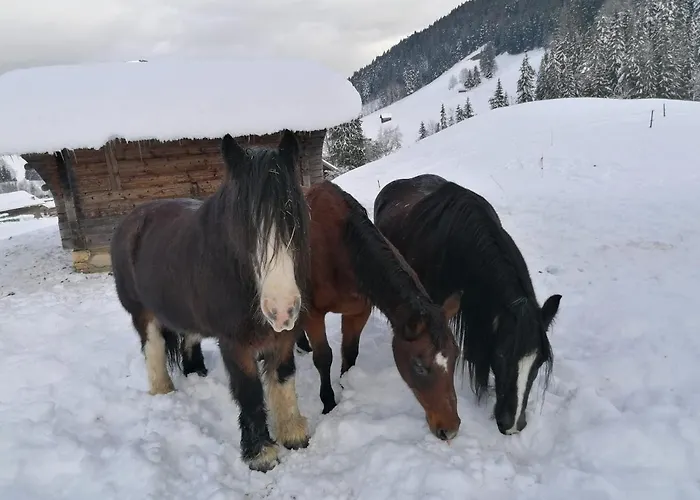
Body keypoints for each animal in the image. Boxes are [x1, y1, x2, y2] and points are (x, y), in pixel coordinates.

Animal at [109, 130, 311, 472]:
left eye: (293, 218)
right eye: (243, 226)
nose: (282, 309)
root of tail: (129, 222)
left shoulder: (284, 336)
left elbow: (283, 378)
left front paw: (293, 434)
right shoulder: (235, 344)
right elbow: (250, 392)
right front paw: (261, 454)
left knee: (188, 339)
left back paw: (196, 374)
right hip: (141, 314)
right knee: (153, 347)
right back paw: (163, 392)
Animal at [295, 180, 462, 441]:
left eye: (455, 357)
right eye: (418, 365)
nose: (450, 429)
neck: (343, 250)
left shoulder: (358, 312)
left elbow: (350, 353)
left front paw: (346, 386)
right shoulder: (314, 314)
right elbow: (323, 358)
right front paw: (329, 403)